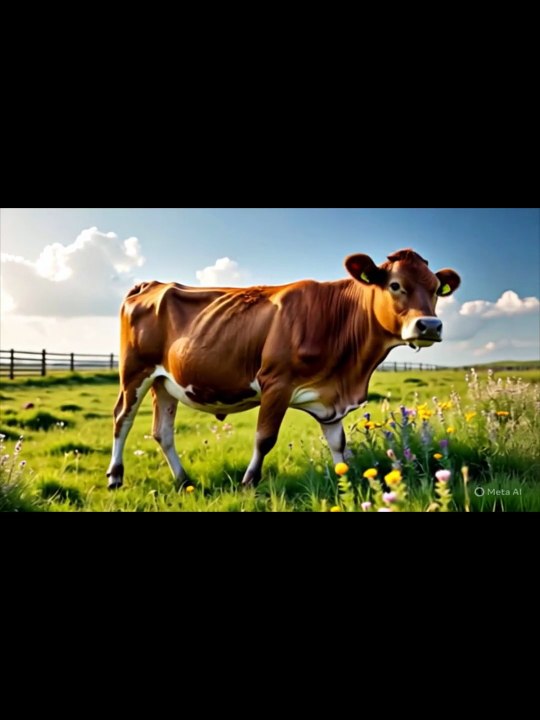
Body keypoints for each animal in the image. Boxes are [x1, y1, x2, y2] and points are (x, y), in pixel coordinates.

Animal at [106, 248, 460, 490]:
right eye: (395, 285)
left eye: (435, 289)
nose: (430, 325)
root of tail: (151, 284)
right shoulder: (276, 383)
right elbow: (265, 438)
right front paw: (249, 483)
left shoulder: (331, 397)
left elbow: (338, 443)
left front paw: (344, 481)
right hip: (134, 373)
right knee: (122, 419)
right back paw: (115, 477)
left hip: (165, 382)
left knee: (162, 432)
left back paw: (183, 480)